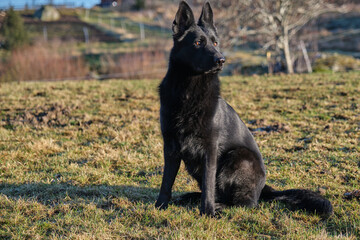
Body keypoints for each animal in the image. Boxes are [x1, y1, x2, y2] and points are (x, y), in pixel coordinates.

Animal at [155, 0, 332, 218]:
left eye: (215, 43)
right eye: (198, 43)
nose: (221, 60)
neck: (189, 91)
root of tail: (263, 189)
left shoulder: (210, 149)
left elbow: (208, 185)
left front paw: (207, 212)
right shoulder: (170, 146)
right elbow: (166, 181)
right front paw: (160, 206)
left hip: (238, 157)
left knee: (245, 203)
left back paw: (219, 206)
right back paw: (192, 198)